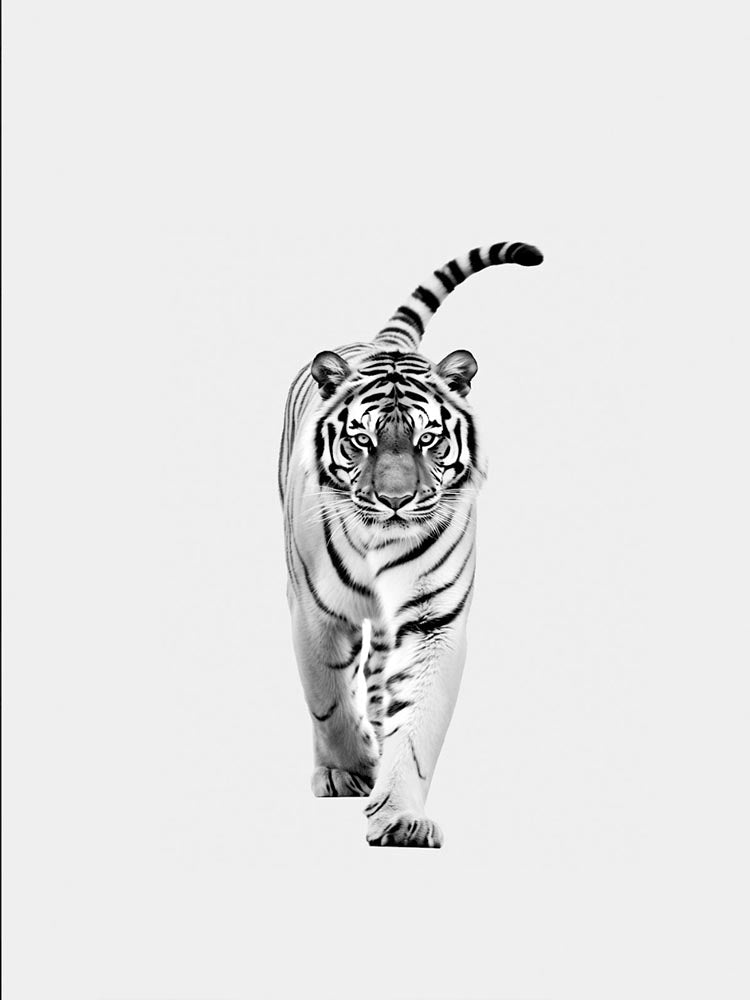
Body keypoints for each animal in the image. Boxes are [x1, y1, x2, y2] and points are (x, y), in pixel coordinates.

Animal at [278, 241, 543, 847]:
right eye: (361, 439)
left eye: (428, 439)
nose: (396, 499)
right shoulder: (314, 612)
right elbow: (327, 700)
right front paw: (347, 771)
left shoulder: (433, 621)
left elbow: (417, 725)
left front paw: (398, 813)